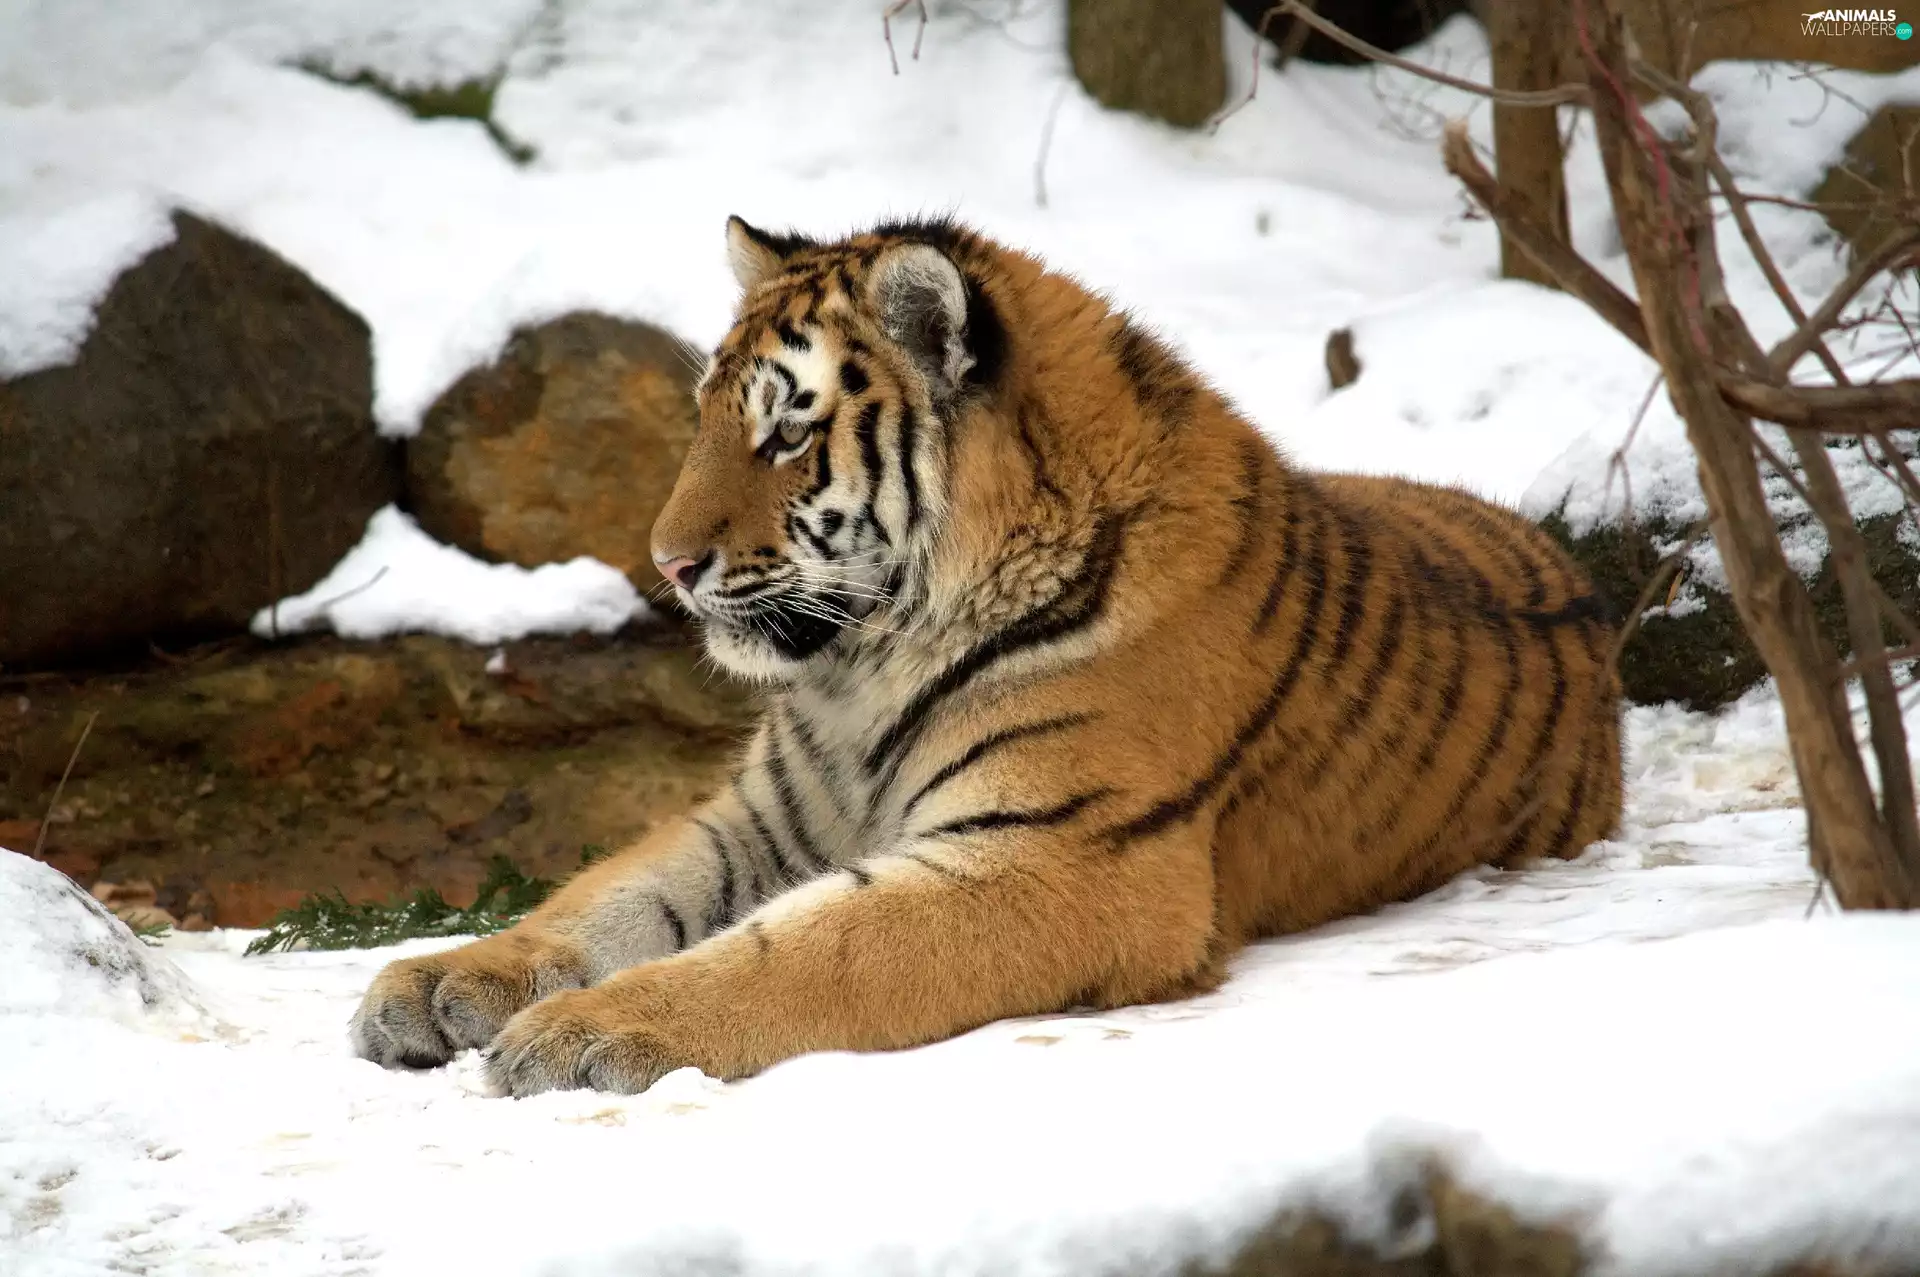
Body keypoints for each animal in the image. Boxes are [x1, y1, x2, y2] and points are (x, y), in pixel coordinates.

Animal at [349, 215, 1623, 1096]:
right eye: (705, 413)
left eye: (788, 427)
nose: (667, 563)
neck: (863, 668)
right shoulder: (760, 818)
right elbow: (612, 891)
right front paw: (444, 977)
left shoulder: (1063, 856)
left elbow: (808, 949)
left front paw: (591, 1028)